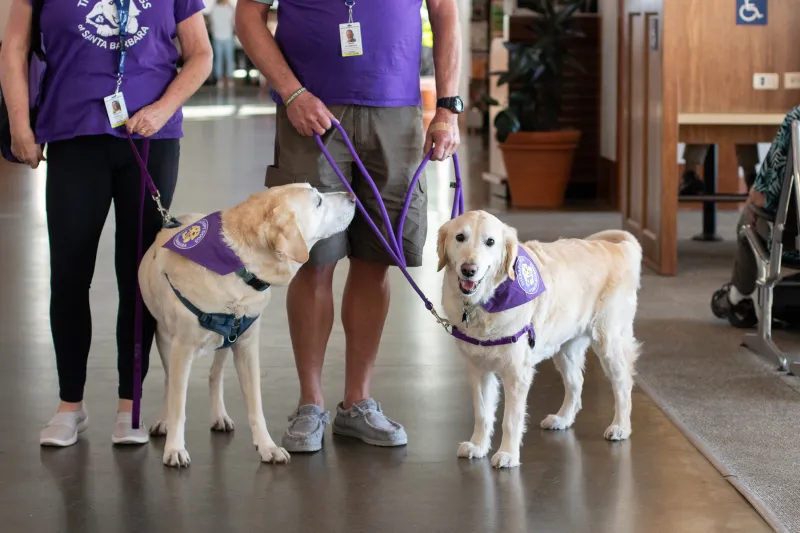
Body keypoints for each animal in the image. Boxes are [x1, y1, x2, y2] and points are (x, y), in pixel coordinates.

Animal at [139, 183, 354, 466]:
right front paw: (174, 448)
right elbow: (178, 404)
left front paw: (267, 446)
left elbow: (255, 405)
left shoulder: (247, 345)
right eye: (318, 201)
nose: (353, 196)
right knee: (169, 383)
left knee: (214, 375)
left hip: (226, 342)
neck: (239, 266)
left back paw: (219, 415)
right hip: (164, 338)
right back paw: (164, 421)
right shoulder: (181, 348)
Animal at [438, 210, 644, 468]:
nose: (468, 269)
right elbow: (482, 414)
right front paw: (478, 446)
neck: (485, 304)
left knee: (623, 384)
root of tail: (618, 249)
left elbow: (511, 419)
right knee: (576, 383)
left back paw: (620, 426)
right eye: (460, 237)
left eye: (490, 242)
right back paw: (563, 418)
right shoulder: (478, 369)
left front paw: (508, 453)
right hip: (565, 348)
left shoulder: (517, 373)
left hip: (609, 341)